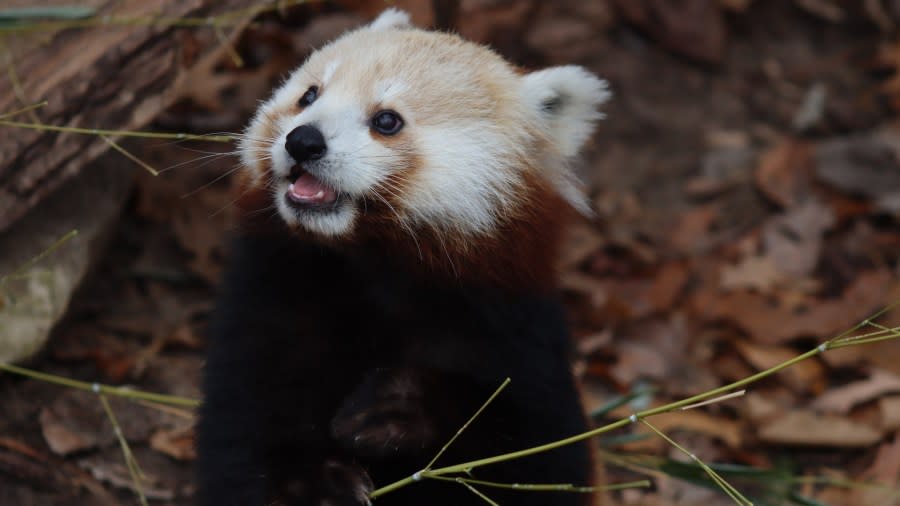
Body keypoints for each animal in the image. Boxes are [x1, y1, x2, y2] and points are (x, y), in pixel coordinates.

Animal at [199, 8, 612, 506]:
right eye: (308, 96)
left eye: (387, 120)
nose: (303, 141)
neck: (375, 270)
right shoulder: (268, 304)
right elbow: (245, 430)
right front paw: (318, 483)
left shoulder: (513, 328)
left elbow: (536, 454)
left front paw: (393, 406)